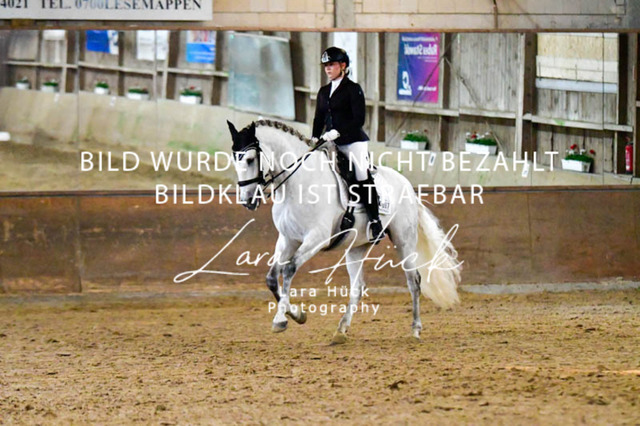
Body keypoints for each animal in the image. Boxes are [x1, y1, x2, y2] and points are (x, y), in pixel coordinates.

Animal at [227, 119, 461, 344]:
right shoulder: (287, 239)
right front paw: (298, 315)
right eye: (235, 159)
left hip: (404, 241)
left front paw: (281, 320)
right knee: (358, 287)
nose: (247, 201)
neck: (298, 184)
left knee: (414, 282)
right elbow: (272, 278)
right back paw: (341, 331)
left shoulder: (316, 238)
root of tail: (408, 187)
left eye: (250, 159)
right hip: (357, 247)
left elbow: (289, 269)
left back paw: (415, 330)